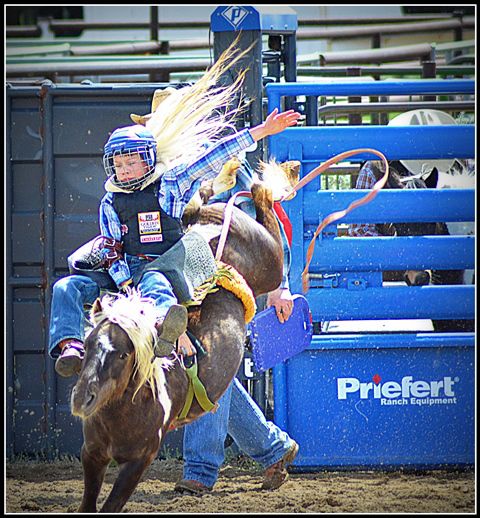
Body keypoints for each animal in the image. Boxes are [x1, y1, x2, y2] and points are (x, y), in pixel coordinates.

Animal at [69, 184, 284, 516]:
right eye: (88, 345)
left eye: (123, 354)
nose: (82, 398)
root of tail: (206, 216)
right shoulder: (91, 453)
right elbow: (88, 504)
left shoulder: (140, 459)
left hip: (269, 262)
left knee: (270, 221)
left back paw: (265, 186)